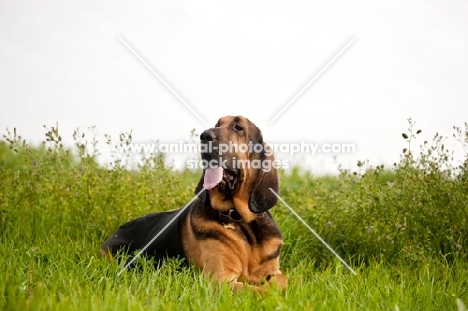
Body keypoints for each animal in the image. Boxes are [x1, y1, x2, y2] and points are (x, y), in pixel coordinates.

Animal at [100, 115, 288, 292]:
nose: (204, 136)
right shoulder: (220, 280)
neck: (239, 219)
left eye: (238, 127)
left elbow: (283, 280)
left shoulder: (273, 270)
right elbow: (258, 290)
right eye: (217, 124)